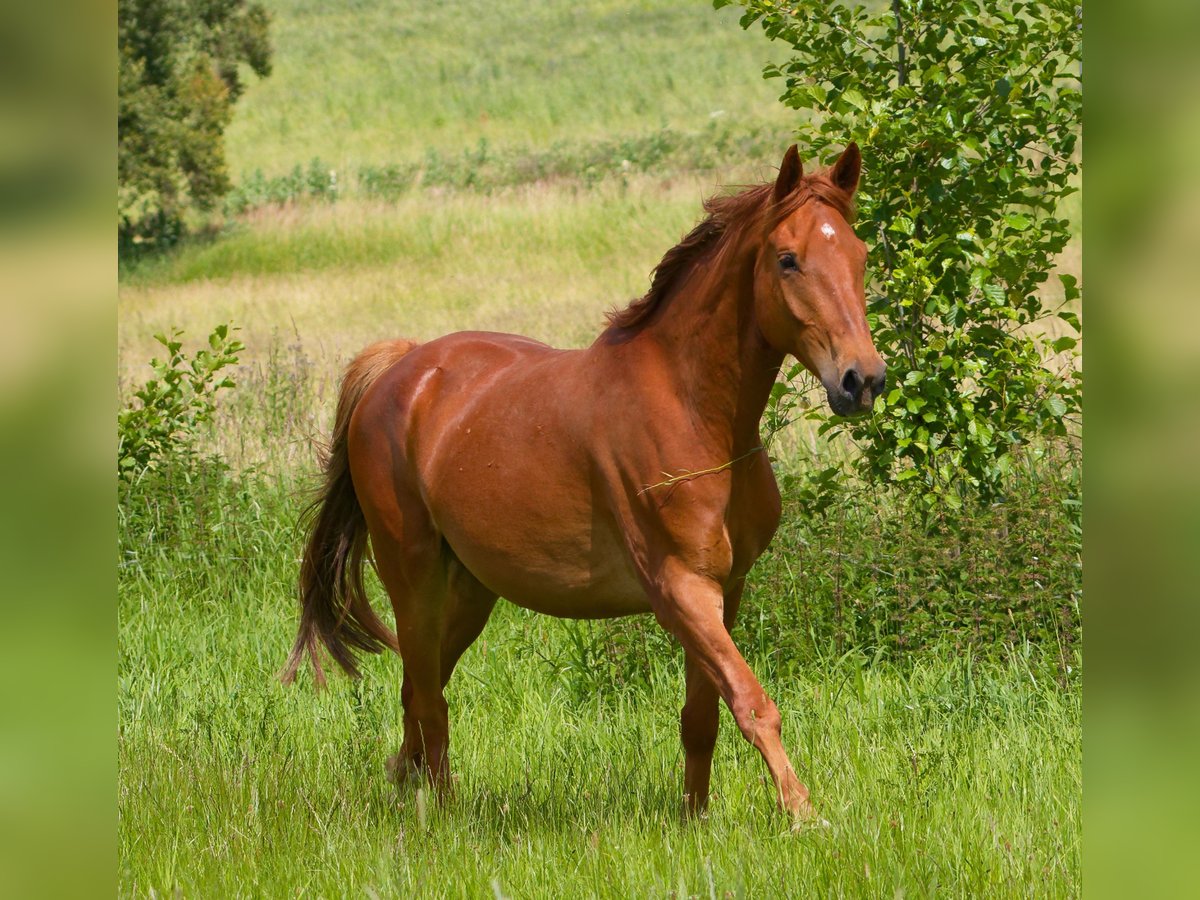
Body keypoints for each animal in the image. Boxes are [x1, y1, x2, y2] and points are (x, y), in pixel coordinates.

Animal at [280, 144, 883, 820]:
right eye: (787, 259)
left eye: (858, 255)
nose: (862, 380)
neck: (694, 412)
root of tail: (399, 366)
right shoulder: (680, 589)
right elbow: (753, 704)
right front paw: (803, 814)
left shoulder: (724, 590)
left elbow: (703, 717)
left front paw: (696, 819)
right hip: (414, 580)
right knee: (429, 701)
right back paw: (446, 814)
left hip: (469, 592)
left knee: (420, 690)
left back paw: (409, 789)